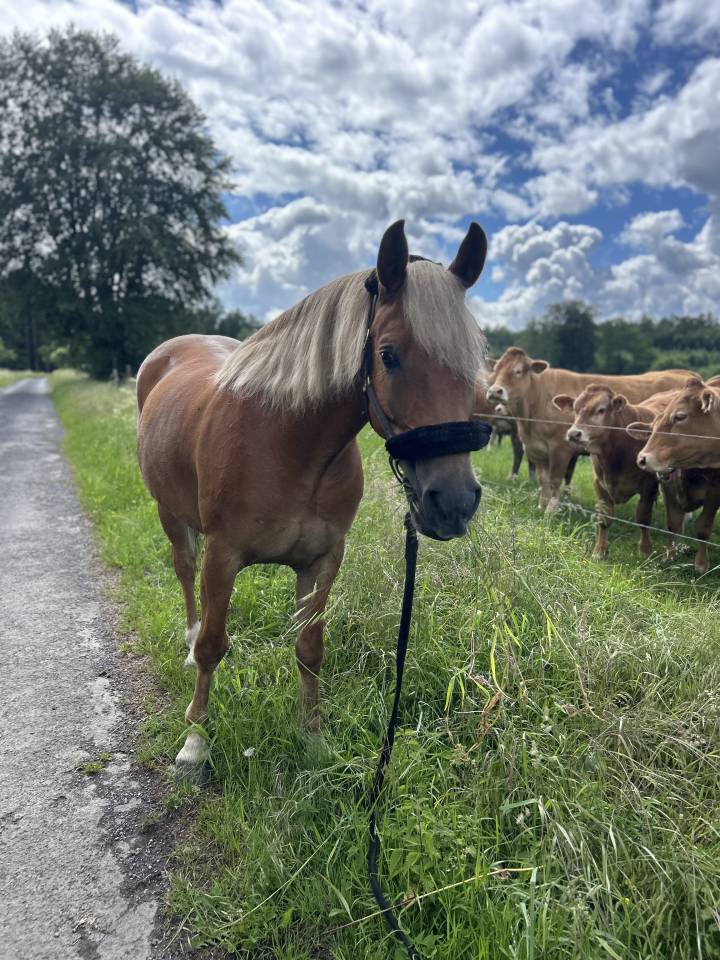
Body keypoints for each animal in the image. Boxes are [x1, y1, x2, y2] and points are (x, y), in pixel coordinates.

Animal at [136, 219, 489, 779]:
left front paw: (314, 739)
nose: (453, 501)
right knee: (185, 577)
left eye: (476, 361)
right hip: (172, 516)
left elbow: (310, 647)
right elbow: (214, 644)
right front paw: (195, 742)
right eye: (388, 355)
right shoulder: (223, 555)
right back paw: (188, 646)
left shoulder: (323, 558)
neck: (288, 443)